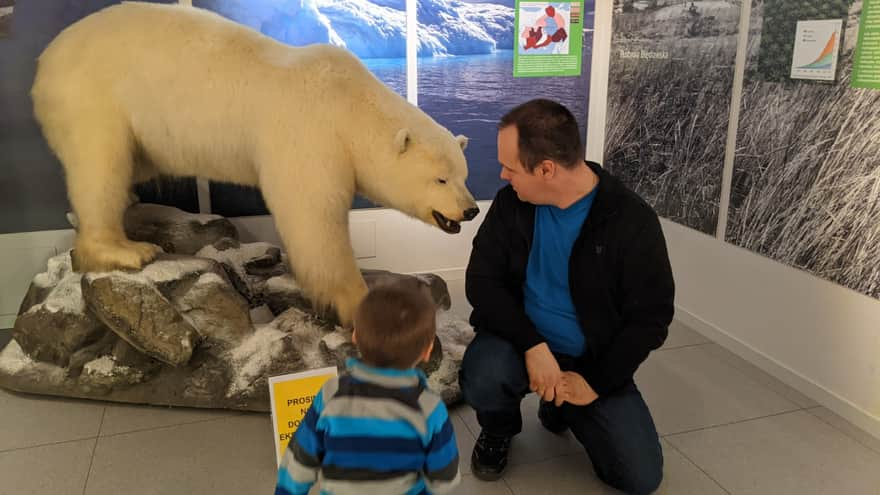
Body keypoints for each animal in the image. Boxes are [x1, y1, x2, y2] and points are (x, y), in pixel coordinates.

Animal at [31, 1, 478, 328]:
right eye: (440, 179)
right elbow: (314, 220)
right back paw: (126, 250)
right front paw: (358, 304)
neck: (348, 103)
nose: (471, 209)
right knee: (100, 163)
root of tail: (45, 62)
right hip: (93, 96)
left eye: (463, 175)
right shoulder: (309, 134)